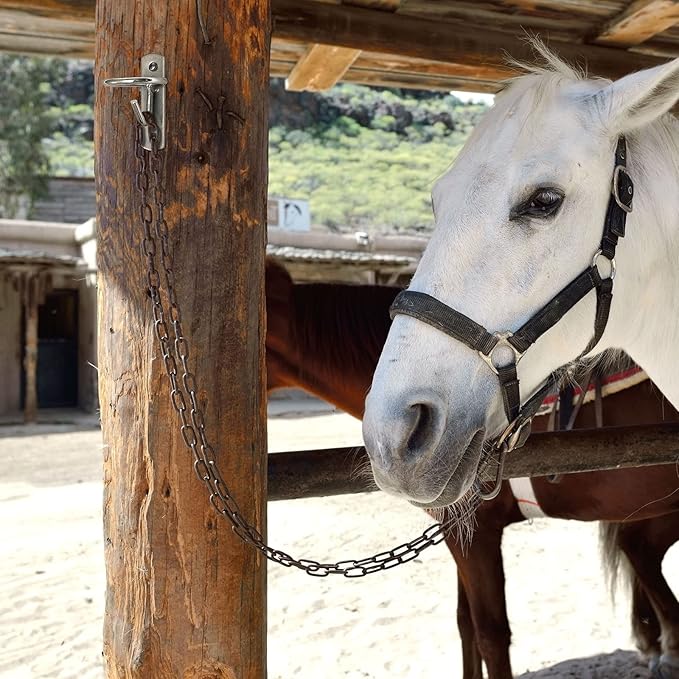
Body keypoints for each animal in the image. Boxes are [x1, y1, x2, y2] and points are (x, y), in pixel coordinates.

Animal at [265, 260, 679, 678]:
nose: (395, 441)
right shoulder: (458, 534)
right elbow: (465, 624)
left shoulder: (476, 534)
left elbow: (489, 633)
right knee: (639, 549)